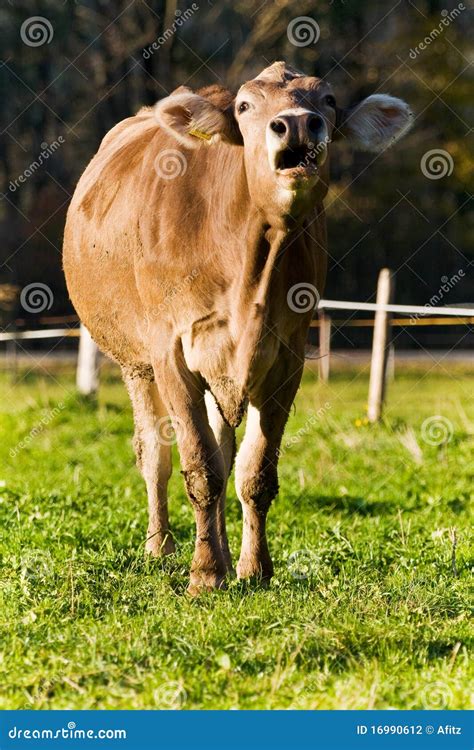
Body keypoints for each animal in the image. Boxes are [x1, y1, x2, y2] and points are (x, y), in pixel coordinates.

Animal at [63, 61, 412, 594]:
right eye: (246, 106)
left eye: (329, 100)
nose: (297, 123)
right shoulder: (171, 351)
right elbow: (200, 467)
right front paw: (205, 573)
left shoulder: (287, 356)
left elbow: (252, 471)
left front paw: (252, 568)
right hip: (134, 361)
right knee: (154, 453)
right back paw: (161, 546)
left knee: (224, 451)